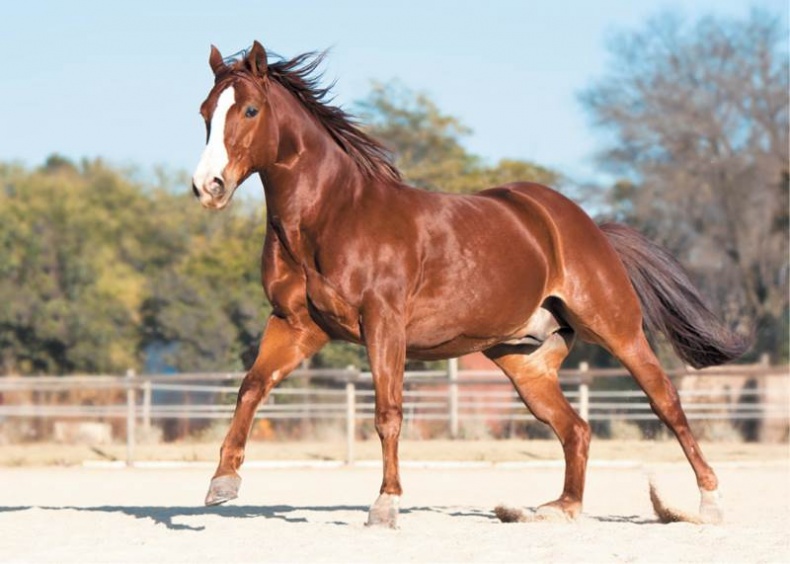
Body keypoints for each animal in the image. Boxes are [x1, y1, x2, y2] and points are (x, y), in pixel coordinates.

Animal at [190, 40, 748, 528]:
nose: (208, 187)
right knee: (576, 429)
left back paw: (710, 505)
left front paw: (386, 506)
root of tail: (583, 225)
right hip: (524, 363)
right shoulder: (296, 325)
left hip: (618, 330)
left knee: (666, 403)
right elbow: (251, 386)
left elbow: (387, 412)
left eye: (250, 111)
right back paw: (558, 509)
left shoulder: (382, 325)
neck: (332, 215)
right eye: (205, 113)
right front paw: (222, 483)